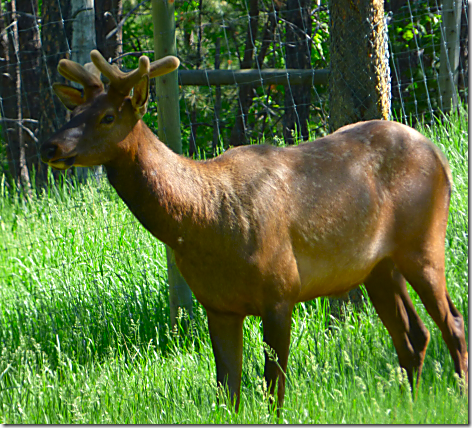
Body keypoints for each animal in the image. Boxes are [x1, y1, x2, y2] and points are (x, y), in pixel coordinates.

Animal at [41, 51, 468, 412]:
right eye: (73, 110)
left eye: (107, 117)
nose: (50, 146)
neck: (204, 223)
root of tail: (440, 156)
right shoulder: (217, 305)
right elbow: (228, 390)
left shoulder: (281, 289)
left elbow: (273, 388)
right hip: (378, 267)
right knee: (413, 337)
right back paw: (411, 402)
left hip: (424, 241)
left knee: (452, 322)